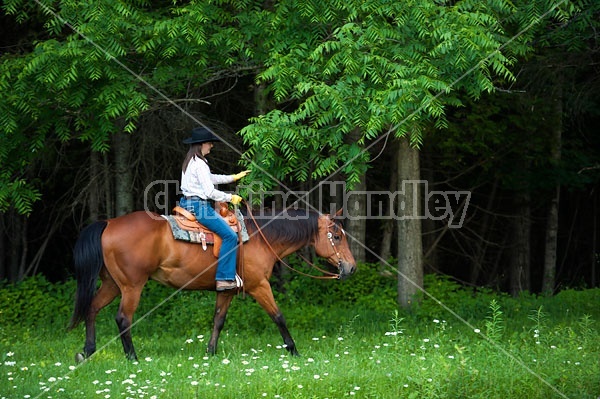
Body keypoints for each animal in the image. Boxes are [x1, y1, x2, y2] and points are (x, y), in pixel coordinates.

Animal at [69, 206, 356, 362]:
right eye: (337, 236)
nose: (351, 268)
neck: (261, 238)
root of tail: (108, 224)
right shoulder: (259, 286)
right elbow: (279, 317)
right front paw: (294, 351)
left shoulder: (226, 290)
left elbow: (218, 320)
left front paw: (210, 352)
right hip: (132, 286)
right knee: (123, 319)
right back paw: (133, 357)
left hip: (112, 284)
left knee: (92, 308)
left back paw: (88, 351)